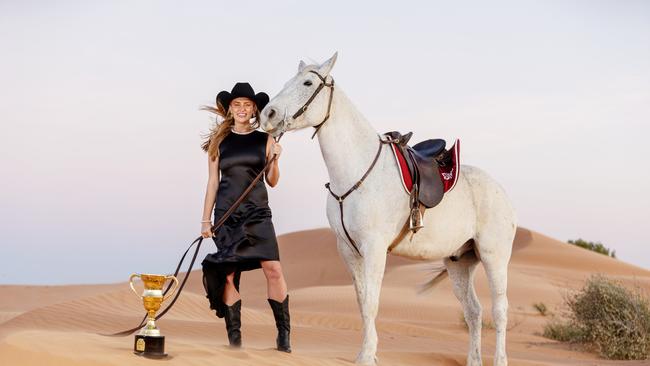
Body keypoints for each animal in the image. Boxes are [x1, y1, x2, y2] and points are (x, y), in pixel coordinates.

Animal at [258, 52, 516, 366]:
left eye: (307, 83)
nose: (267, 115)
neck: (356, 170)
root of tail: (502, 193)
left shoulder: (374, 247)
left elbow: (371, 302)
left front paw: (368, 355)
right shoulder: (349, 250)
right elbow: (361, 301)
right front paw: (365, 352)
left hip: (494, 257)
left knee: (499, 311)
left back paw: (500, 359)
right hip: (459, 262)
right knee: (473, 311)